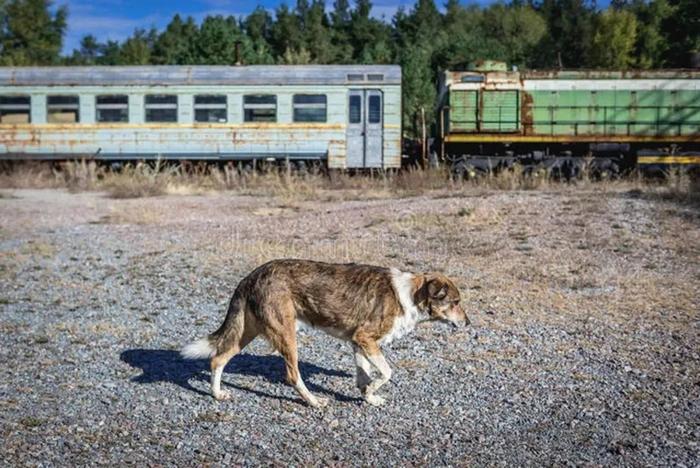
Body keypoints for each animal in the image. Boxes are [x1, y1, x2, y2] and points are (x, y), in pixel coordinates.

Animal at [180, 258, 468, 408]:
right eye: (455, 302)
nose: (467, 323)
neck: (409, 294)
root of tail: (251, 276)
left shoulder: (358, 342)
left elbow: (364, 374)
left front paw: (368, 396)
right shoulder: (366, 339)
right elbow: (387, 372)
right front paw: (373, 390)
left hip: (246, 332)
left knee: (218, 359)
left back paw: (217, 394)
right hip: (286, 335)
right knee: (292, 375)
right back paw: (314, 401)